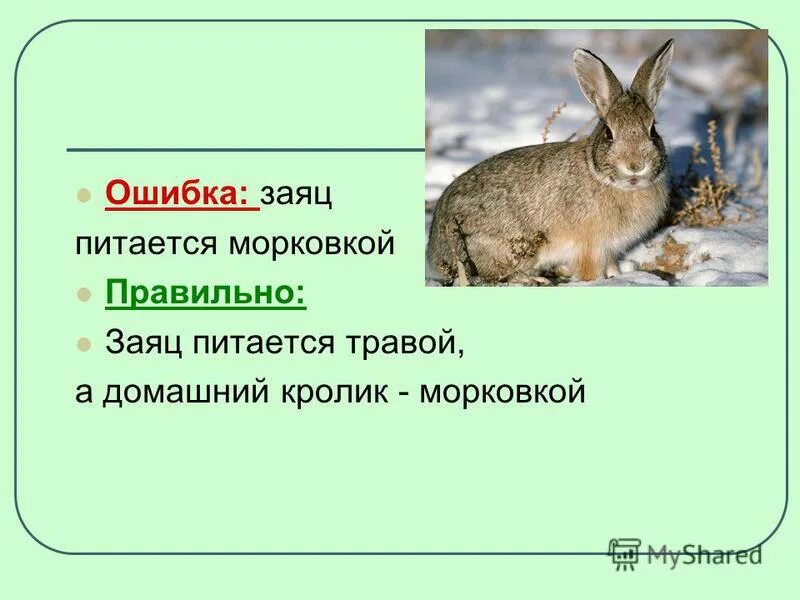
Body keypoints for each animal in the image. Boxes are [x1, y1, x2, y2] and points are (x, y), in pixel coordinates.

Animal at [427, 39, 675, 284]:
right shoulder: (590, 247)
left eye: (652, 130)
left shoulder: (609, 249)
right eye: (608, 133)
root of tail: (434, 252)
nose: (635, 166)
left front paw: (619, 276)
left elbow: (612, 267)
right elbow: (591, 272)